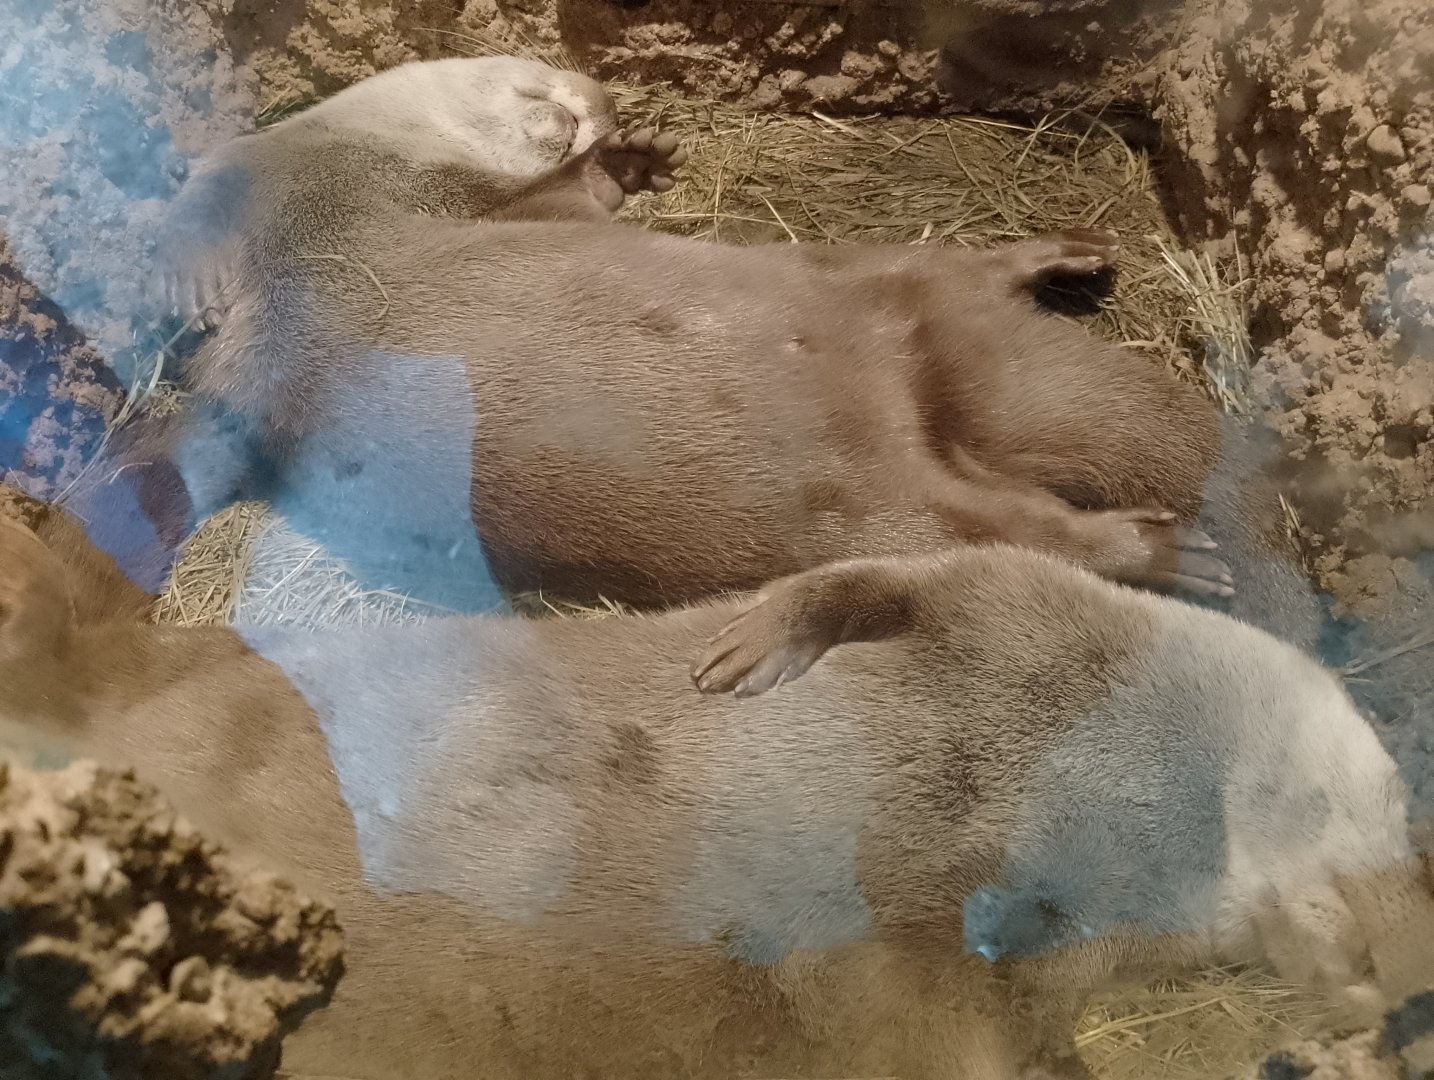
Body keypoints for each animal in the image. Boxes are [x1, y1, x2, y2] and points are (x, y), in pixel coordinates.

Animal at [2, 492, 1427, 1079]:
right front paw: (763, 644)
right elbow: (884, 577)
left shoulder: (1029, 975)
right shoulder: (1015, 606)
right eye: (1361, 824)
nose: (1380, 972)